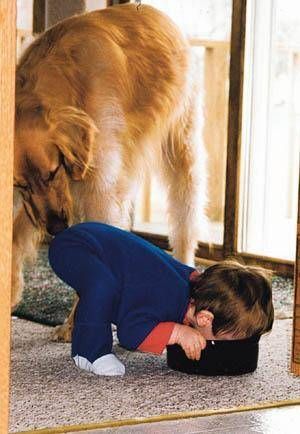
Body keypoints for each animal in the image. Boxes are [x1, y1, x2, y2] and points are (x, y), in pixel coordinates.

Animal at [13, 4, 206, 342]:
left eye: (53, 172)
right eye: (20, 185)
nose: (57, 227)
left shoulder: (94, 191)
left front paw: (77, 325)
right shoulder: (48, 200)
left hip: (182, 156)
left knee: (185, 230)